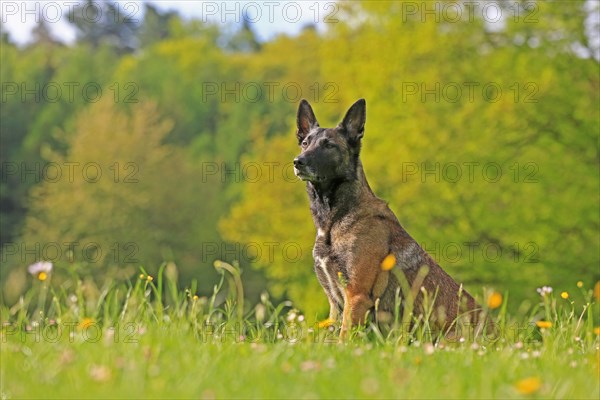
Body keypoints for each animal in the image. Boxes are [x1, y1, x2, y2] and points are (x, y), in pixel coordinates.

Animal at [292, 98, 480, 340]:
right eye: (305, 143)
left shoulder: (356, 296)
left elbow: (344, 338)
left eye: (329, 145)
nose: (298, 161)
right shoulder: (335, 304)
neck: (335, 221)